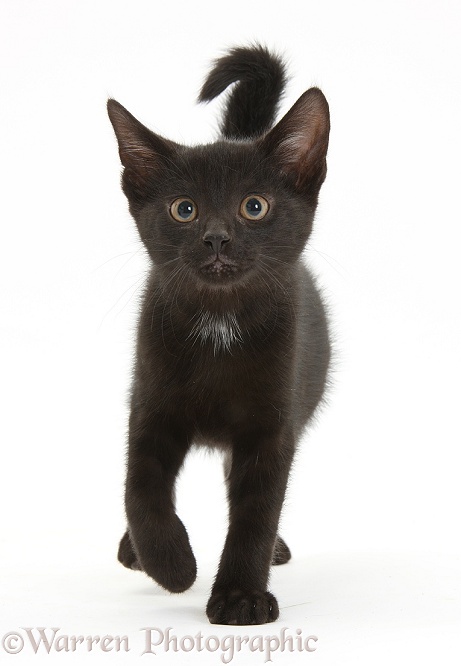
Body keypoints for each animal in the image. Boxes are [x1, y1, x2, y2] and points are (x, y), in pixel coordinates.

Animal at [107, 45, 330, 624]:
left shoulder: (272, 424)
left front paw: (240, 597)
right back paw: (135, 552)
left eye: (254, 206)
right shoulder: (149, 405)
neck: (219, 326)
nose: (216, 238)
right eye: (183, 209)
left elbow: (256, 511)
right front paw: (171, 564)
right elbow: (140, 489)